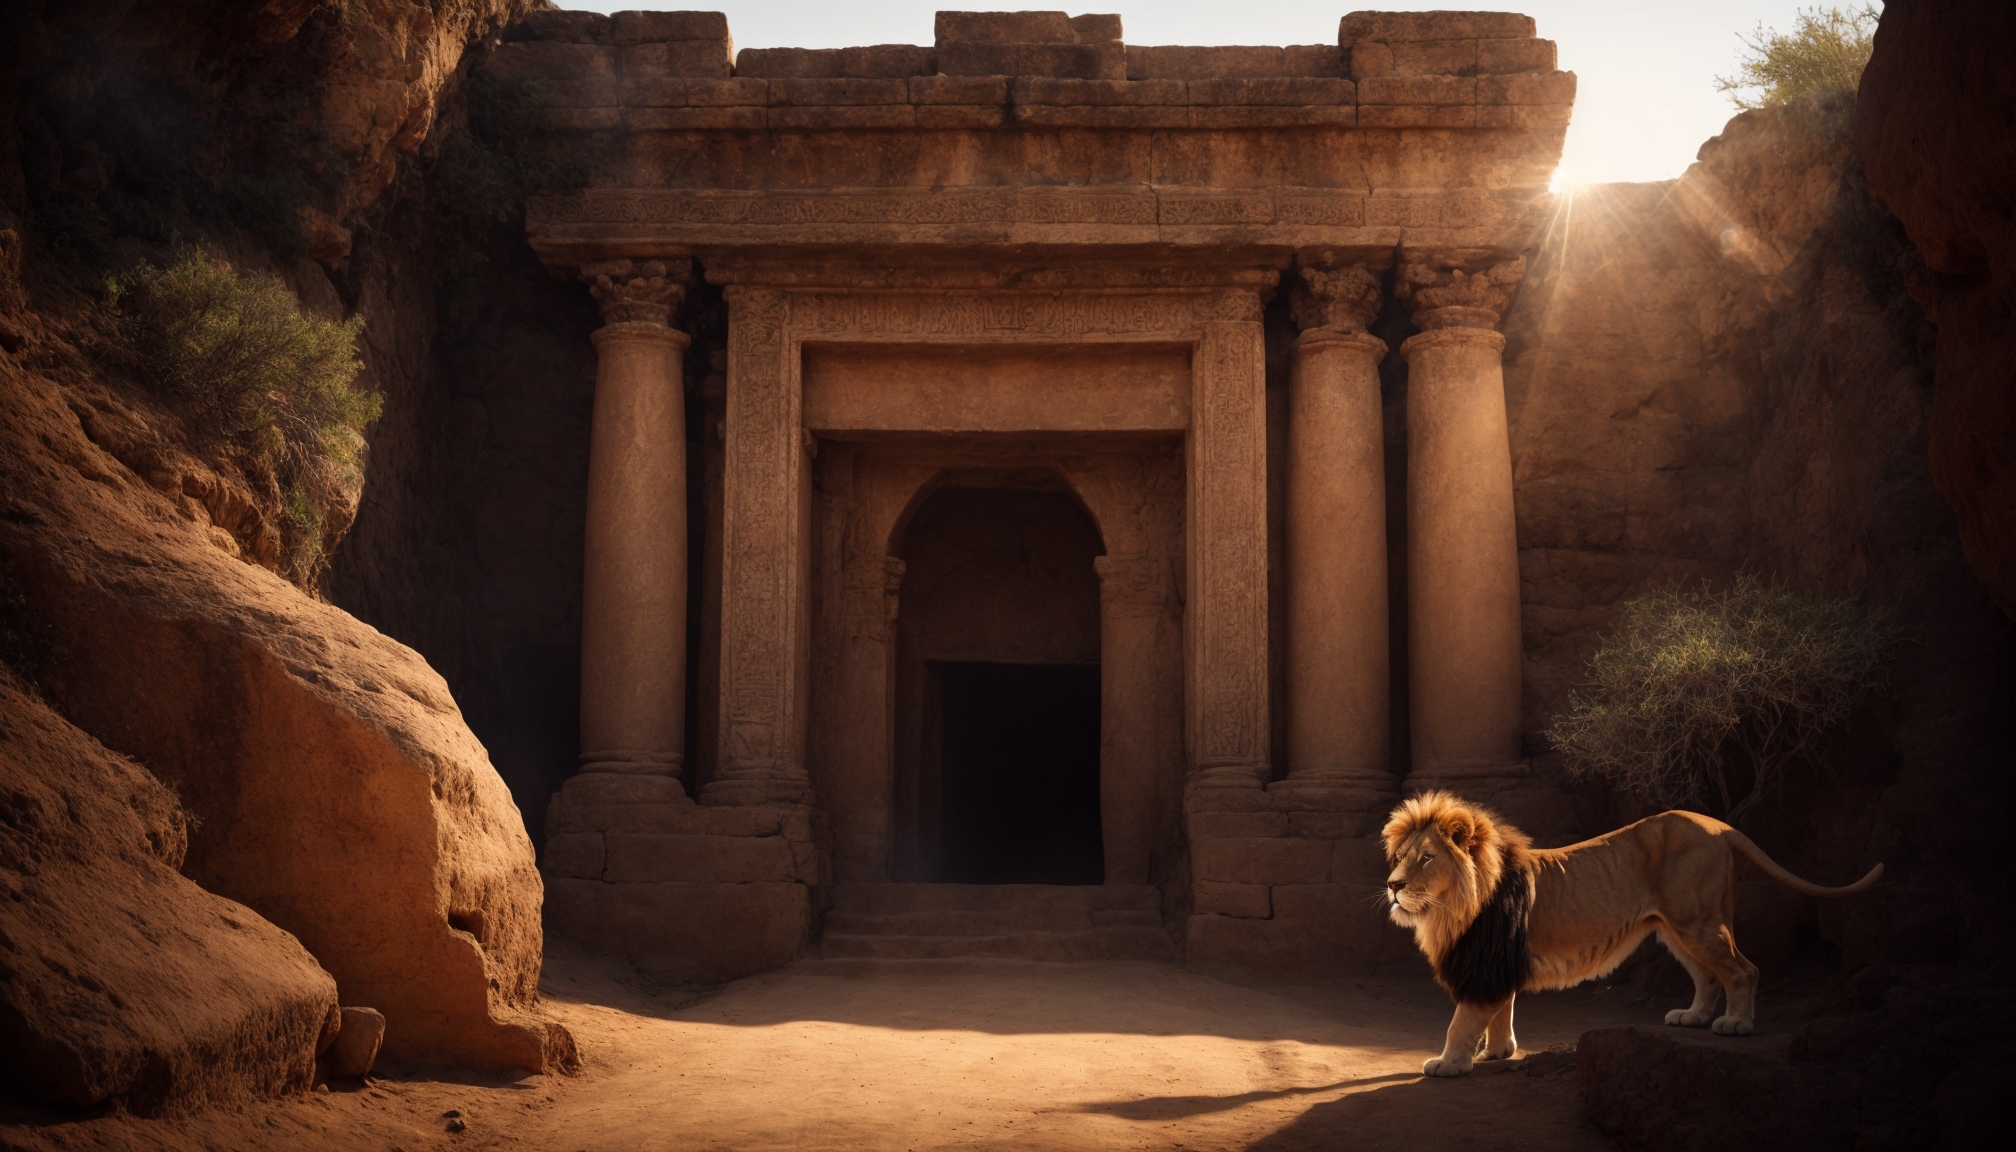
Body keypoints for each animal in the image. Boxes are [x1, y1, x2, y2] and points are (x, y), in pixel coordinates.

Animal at [1381, 790, 1883, 1077]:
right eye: (1401, 856)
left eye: (1427, 858)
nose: (1392, 885)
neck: (1449, 909)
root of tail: (1720, 825)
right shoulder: (1498, 960)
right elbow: (1500, 1009)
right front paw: (1499, 1052)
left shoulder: (1486, 961)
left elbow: (1463, 1019)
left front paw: (1449, 1063)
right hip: (1676, 929)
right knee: (1709, 976)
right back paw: (1693, 1017)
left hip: (1696, 921)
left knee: (1744, 970)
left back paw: (1736, 1024)